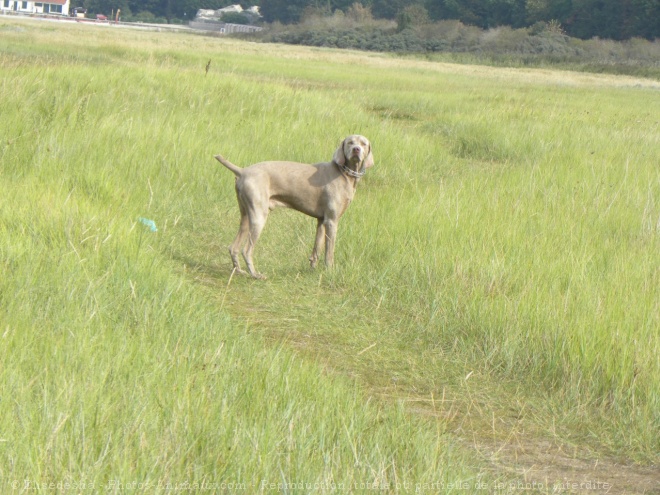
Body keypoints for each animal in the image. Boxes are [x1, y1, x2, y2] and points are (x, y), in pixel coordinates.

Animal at [215, 136, 374, 280]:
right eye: (350, 142)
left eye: (363, 143)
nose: (356, 149)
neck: (345, 174)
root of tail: (243, 171)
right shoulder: (332, 221)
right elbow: (329, 251)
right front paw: (329, 271)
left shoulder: (321, 220)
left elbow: (317, 247)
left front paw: (313, 269)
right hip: (258, 216)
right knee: (246, 250)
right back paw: (255, 274)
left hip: (246, 216)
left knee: (233, 247)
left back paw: (239, 271)